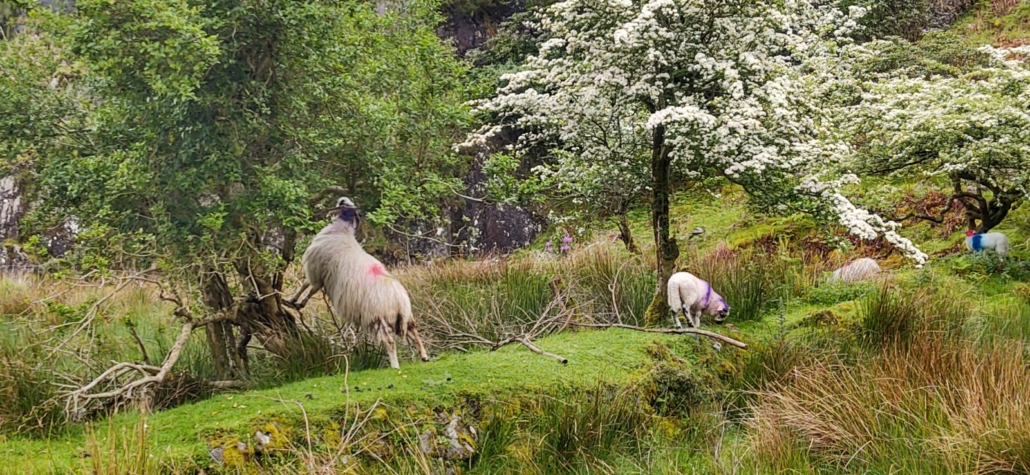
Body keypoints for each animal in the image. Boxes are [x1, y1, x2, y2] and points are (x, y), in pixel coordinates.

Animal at [288, 197, 429, 369]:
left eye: (346, 205)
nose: (341, 199)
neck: (342, 230)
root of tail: (400, 301)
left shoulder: (317, 269)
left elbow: (307, 286)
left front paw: (293, 301)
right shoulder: (321, 275)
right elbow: (311, 288)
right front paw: (297, 302)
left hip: (379, 317)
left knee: (390, 341)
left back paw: (395, 365)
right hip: (405, 317)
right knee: (414, 332)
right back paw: (424, 356)